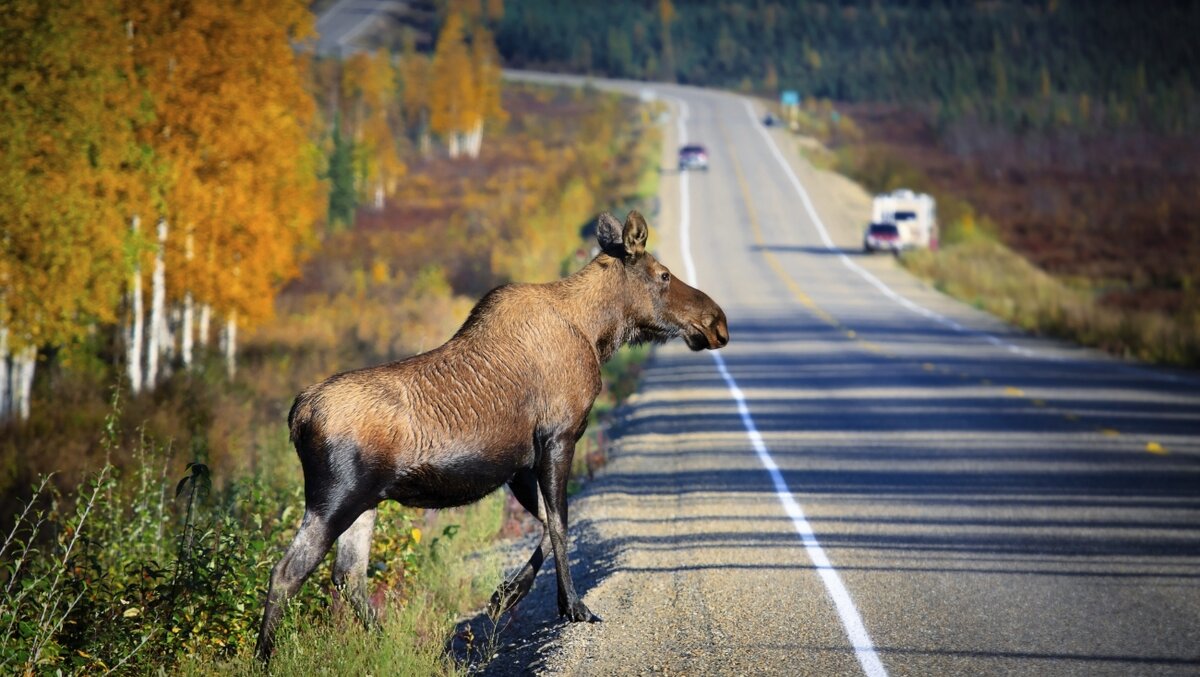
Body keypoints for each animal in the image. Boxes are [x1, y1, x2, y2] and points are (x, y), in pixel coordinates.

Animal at [255, 210, 729, 662]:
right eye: (663, 274)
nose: (717, 322)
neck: (597, 334)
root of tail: (297, 415)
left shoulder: (520, 464)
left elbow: (548, 524)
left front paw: (505, 595)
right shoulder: (558, 437)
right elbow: (561, 523)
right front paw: (573, 606)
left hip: (366, 502)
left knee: (348, 577)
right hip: (335, 498)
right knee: (286, 572)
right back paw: (265, 657)